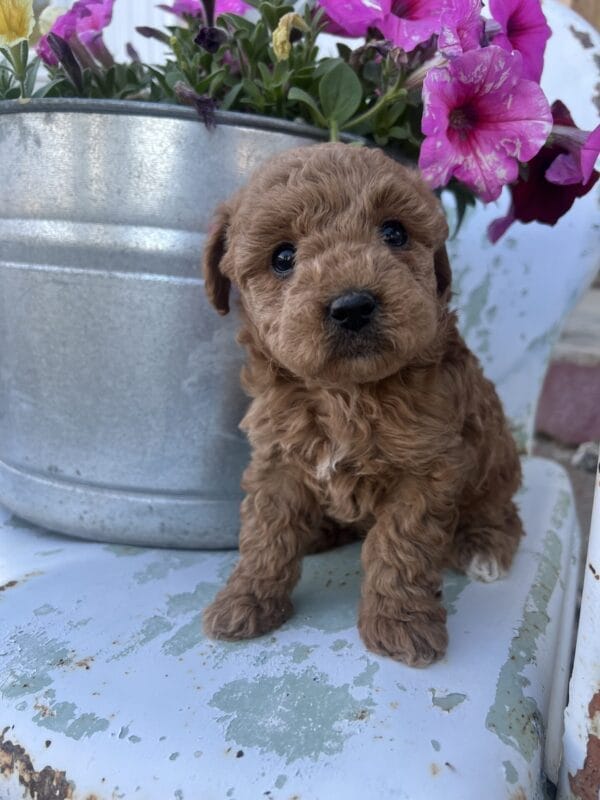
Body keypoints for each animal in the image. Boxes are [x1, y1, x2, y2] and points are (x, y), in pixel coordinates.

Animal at [200, 141, 520, 664]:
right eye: (282, 256)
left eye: (394, 232)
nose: (352, 306)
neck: (345, 392)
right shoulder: (277, 458)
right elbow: (266, 532)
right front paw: (245, 600)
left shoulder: (427, 470)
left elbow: (400, 544)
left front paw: (401, 623)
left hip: (497, 462)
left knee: (500, 511)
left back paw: (483, 548)